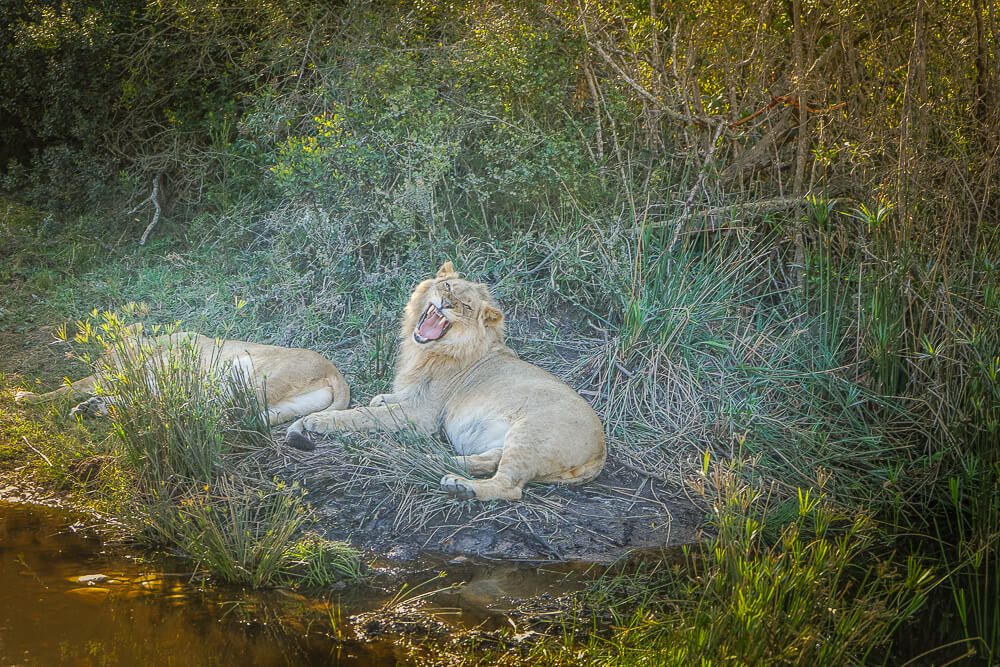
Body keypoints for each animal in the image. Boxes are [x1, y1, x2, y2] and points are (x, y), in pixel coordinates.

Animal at [12, 332, 352, 446]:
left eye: (105, 357)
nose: (96, 363)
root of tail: (333, 370)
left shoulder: (115, 376)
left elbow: (68, 388)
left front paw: (26, 396)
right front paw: (92, 407)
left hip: (249, 377)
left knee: (224, 416)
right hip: (282, 406)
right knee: (243, 421)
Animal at [286, 260, 604, 500]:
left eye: (466, 305)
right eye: (448, 286)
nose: (447, 304)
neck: (427, 351)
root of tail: (601, 451)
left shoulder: (423, 414)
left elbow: (362, 415)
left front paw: (320, 420)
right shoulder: (414, 396)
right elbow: (381, 402)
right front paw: (379, 399)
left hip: (530, 433)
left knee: (509, 486)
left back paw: (461, 487)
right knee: (490, 460)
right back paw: (429, 460)